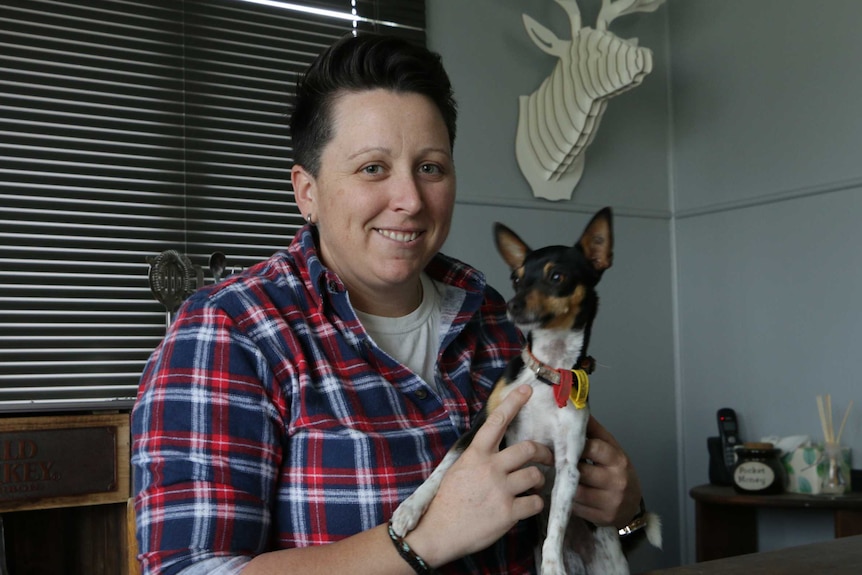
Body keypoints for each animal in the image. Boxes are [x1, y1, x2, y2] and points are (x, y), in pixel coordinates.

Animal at [392, 208, 660, 575]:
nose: (513, 305)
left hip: (610, 564)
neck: (548, 373)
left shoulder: (568, 467)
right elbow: (442, 470)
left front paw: (552, 567)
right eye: (516, 279)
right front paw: (410, 507)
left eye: (557, 276)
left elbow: (556, 527)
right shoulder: (481, 425)